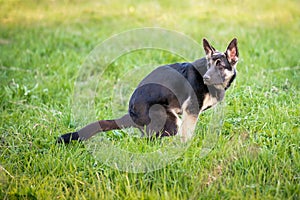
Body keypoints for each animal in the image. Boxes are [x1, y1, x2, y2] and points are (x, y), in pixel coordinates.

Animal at [56, 37, 239, 143]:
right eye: (208, 65)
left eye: (220, 66)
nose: (205, 78)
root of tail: (130, 114)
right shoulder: (191, 111)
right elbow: (187, 135)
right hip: (170, 120)